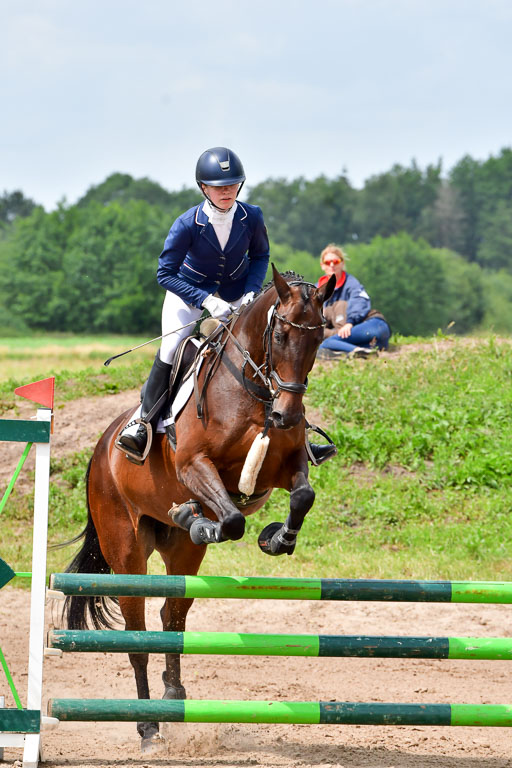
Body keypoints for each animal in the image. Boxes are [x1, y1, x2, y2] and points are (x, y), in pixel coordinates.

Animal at [63, 265, 336, 751]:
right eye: (280, 335)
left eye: (320, 336)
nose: (287, 414)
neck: (254, 391)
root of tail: (99, 450)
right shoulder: (195, 466)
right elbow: (231, 519)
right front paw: (197, 518)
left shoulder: (286, 466)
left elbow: (302, 497)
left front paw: (276, 538)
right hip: (127, 553)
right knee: (139, 635)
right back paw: (148, 728)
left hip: (181, 557)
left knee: (172, 617)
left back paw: (174, 698)